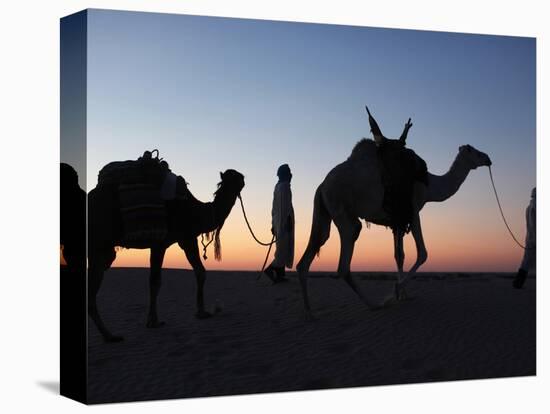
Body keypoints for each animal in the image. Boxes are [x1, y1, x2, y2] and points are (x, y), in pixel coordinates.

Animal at [89, 168, 245, 342]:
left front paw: (200, 311)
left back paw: (108, 335)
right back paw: (110, 335)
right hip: (98, 244)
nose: (242, 179)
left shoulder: (182, 239)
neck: (195, 212)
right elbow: (159, 280)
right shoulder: (170, 240)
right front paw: (154, 321)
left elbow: (197, 272)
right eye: (235, 177)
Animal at [300, 139, 494, 320]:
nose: (488, 158)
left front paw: (403, 295)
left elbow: (399, 255)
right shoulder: (413, 211)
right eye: (475, 152)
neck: (429, 184)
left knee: (313, 248)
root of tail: (322, 185)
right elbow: (422, 253)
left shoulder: (397, 221)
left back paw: (310, 313)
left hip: (325, 211)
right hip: (343, 211)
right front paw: (395, 290)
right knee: (345, 258)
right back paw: (374, 304)